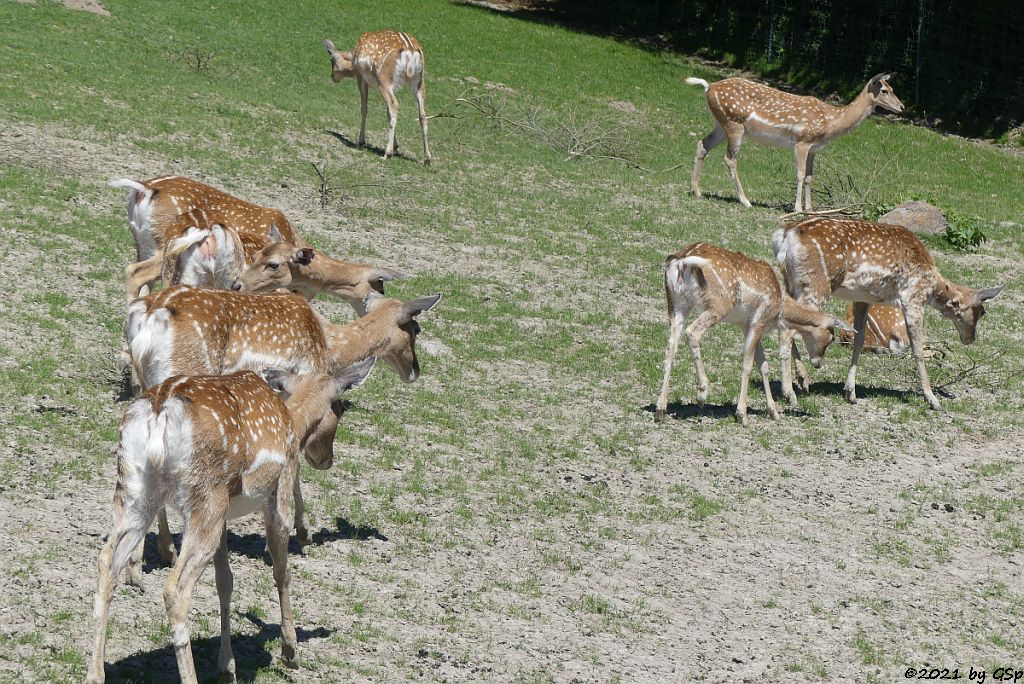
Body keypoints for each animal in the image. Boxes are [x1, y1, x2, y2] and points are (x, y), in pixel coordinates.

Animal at [87, 358, 376, 684]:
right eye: (338, 408)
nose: (327, 459)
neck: (293, 420)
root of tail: (161, 409)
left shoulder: (224, 516)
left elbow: (225, 580)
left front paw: (227, 668)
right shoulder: (279, 490)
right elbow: (281, 570)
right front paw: (291, 652)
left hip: (135, 490)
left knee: (107, 561)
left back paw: (95, 674)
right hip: (205, 494)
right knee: (175, 588)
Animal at [321, 32, 430, 165]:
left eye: (331, 60)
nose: (332, 77)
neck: (353, 61)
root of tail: (410, 51)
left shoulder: (361, 77)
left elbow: (364, 108)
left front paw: (360, 142)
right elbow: (387, 113)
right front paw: (396, 145)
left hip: (384, 79)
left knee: (395, 105)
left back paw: (387, 153)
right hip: (419, 80)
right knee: (422, 114)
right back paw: (427, 159)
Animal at [651, 242, 851, 423]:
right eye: (831, 338)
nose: (818, 363)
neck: (780, 307)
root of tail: (681, 261)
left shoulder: (746, 326)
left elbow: (763, 366)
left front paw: (773, 412)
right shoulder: (758, 321)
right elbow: (747, 365)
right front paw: (742, 414)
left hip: (676, 305)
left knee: (670, 349)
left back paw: (660, 410)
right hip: (718, 306)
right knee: (692, 332)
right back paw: (702, 393)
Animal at [688, 71, 905, 210]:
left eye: (893, 87)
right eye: (884, 90)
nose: (902, 107)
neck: (830, 122)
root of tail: (708, 87)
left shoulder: (814, 148)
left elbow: (810, 176)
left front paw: (810, 209)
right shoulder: (802, 141)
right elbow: (800, 174)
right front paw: (797, 208)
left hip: (721, 124)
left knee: (702, 145)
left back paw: (697, 191)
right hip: (734, 124)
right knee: (730, 159)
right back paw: (745, 201)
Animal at [774, 216, 999, 409]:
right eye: (981, 311)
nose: (970, 338)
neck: (932, 284)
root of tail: (784, 235)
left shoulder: (863, 299)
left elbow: (859, 339)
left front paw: (850, 393)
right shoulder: (913, 298)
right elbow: (917, 349)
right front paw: (932, 399)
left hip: (793, 283)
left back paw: (802, 381)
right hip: (815, 285)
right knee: (789, 328)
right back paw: (791, 391)